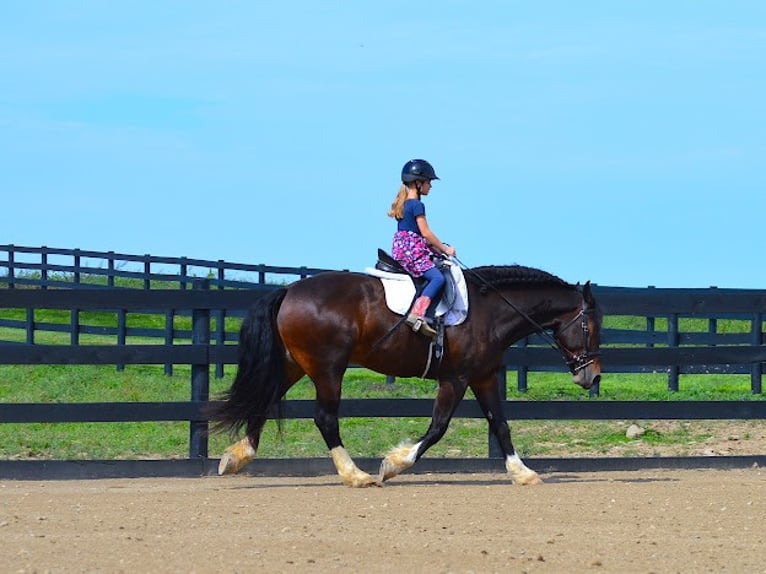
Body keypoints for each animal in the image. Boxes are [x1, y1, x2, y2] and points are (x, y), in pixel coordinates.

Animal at [208, 264, 600, 486]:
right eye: (591, 327)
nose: (592, 377)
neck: (489, 311)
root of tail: (289, 289)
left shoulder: (484, 376)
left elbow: (500, 425)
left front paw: (523, 472)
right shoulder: (455, 379)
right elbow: (438, 428)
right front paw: (394, 464)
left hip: (295, 363)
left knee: (264, 400)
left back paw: (237, 456)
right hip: (327, 369)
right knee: (325, 418)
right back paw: (357, 475)